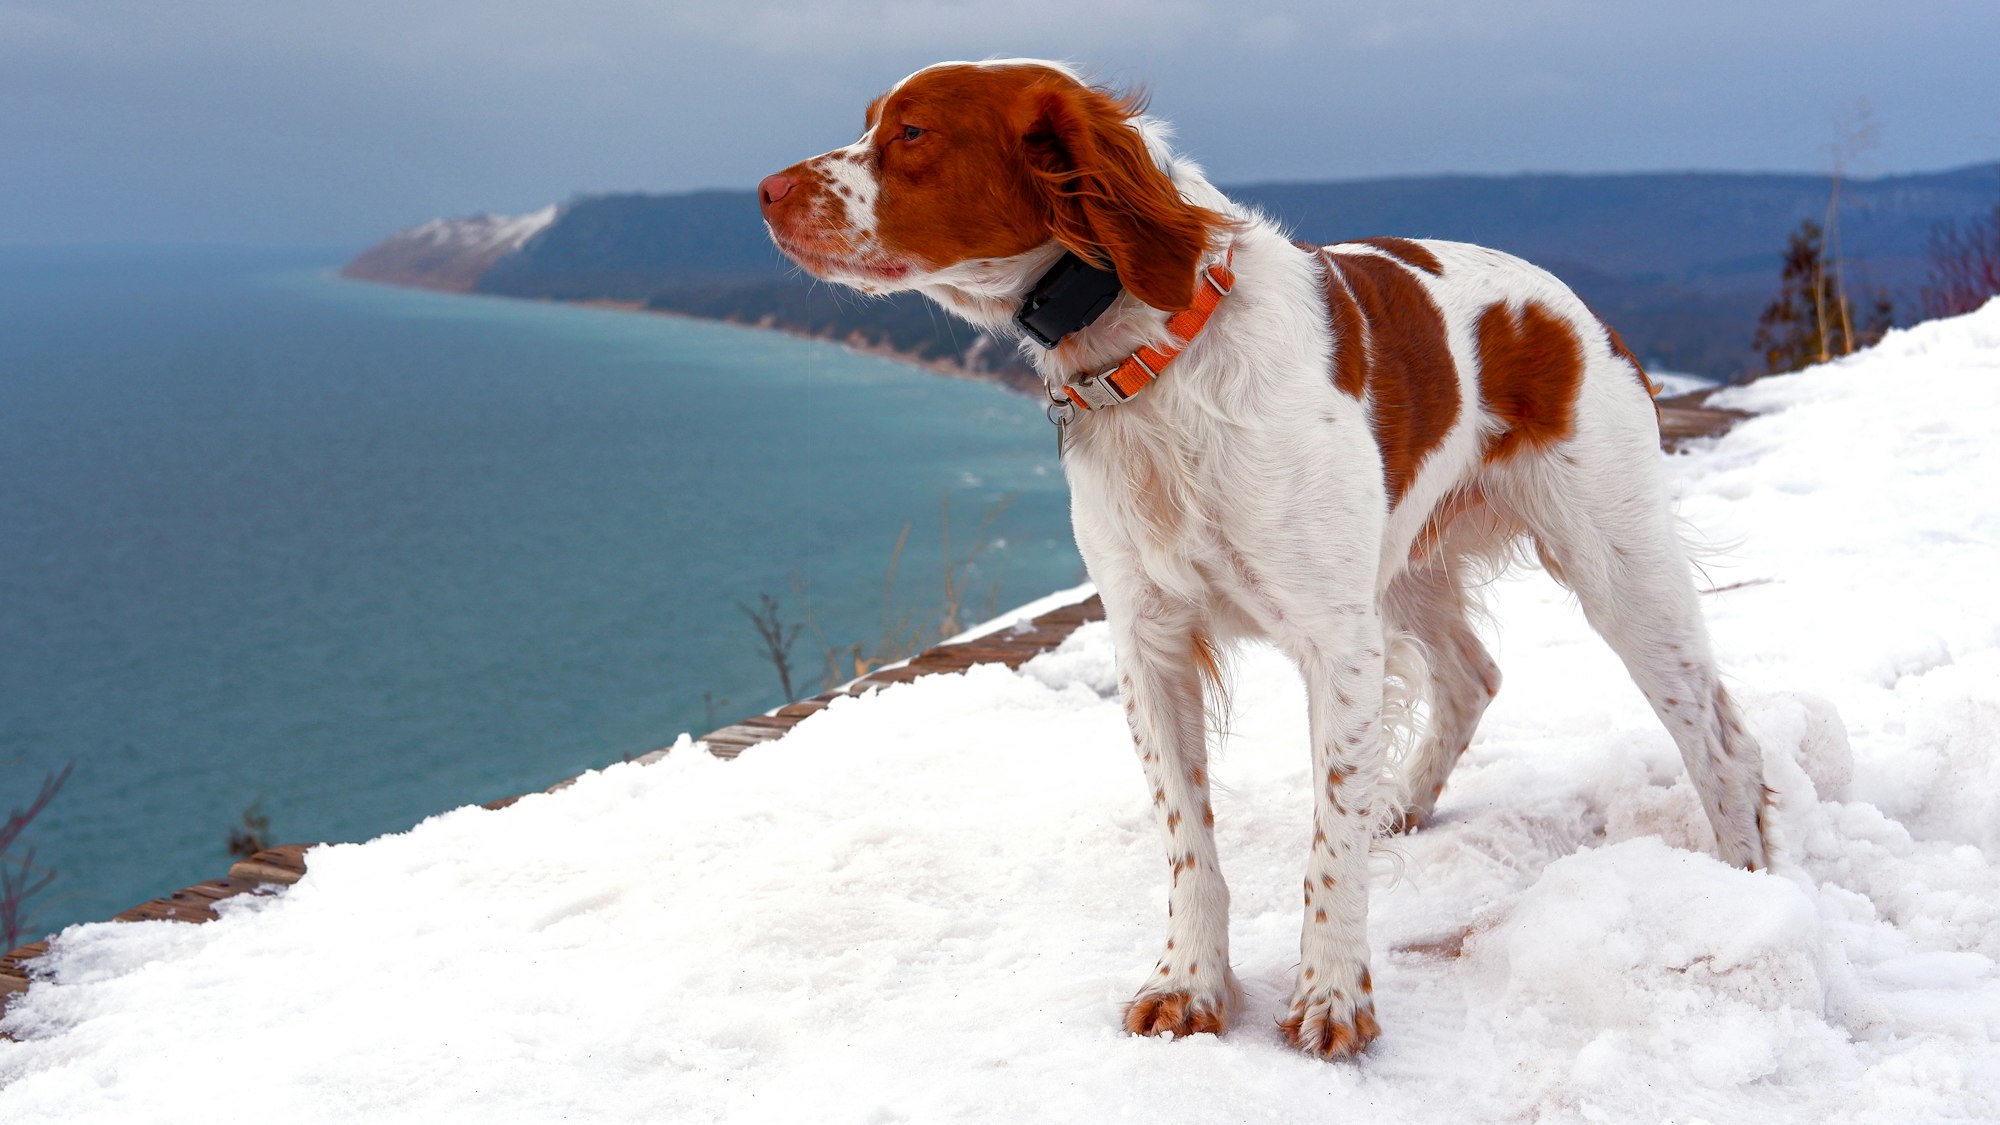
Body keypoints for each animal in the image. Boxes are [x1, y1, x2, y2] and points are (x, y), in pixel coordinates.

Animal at [756, 59, 1776, 1056]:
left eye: (913, 133)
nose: (765, 191)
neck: (1153, 357)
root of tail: (1576, 307)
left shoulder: (1335, 639)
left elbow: (1329, 844)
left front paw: (1333, 997)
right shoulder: (1152, 638)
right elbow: (1189, 840)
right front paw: (1189, 985)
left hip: (1615, 562)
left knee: (1719, 735)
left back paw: (1747, 880)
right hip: (1404, 570)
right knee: (1474, 674)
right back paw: (1404, 802)